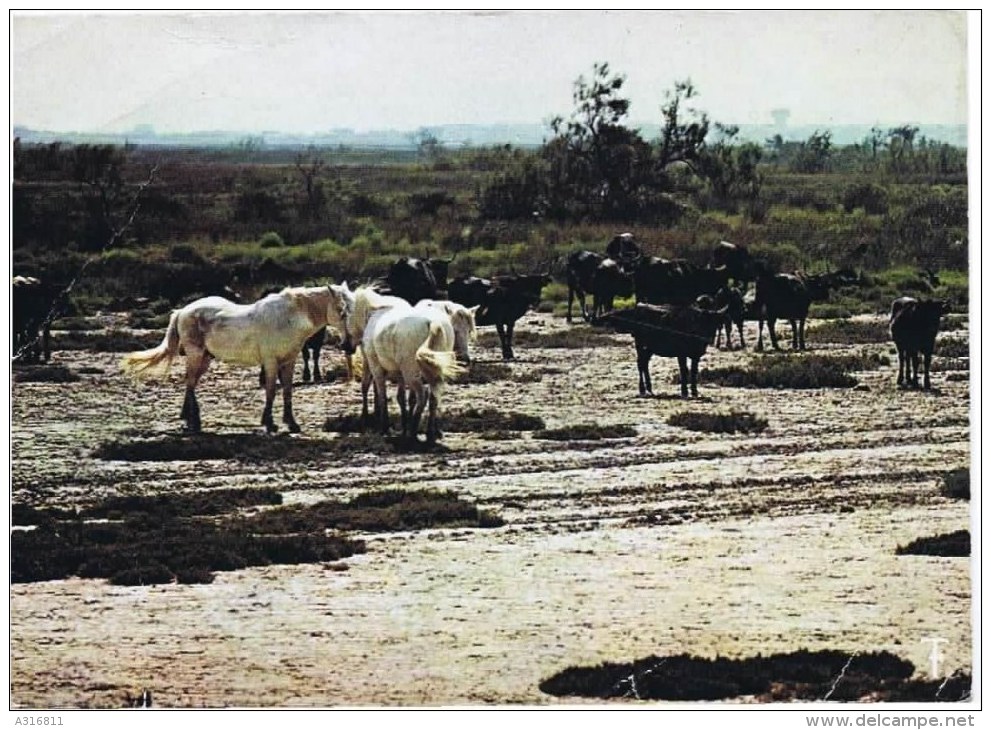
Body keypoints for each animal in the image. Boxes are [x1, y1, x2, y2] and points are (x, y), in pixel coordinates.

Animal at [123, 284, 348, 432]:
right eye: (341, 310)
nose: (346, 345)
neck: (288, 316)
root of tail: (182, 311)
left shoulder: (289, 361)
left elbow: (287, 392)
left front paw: (291, 423)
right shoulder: (271, 362)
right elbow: (271, 391)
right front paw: (270, 423)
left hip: (205, 359)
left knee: (190, 384)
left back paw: (189, 419)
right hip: (196, 356)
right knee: (190, 383)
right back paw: (194, 422)